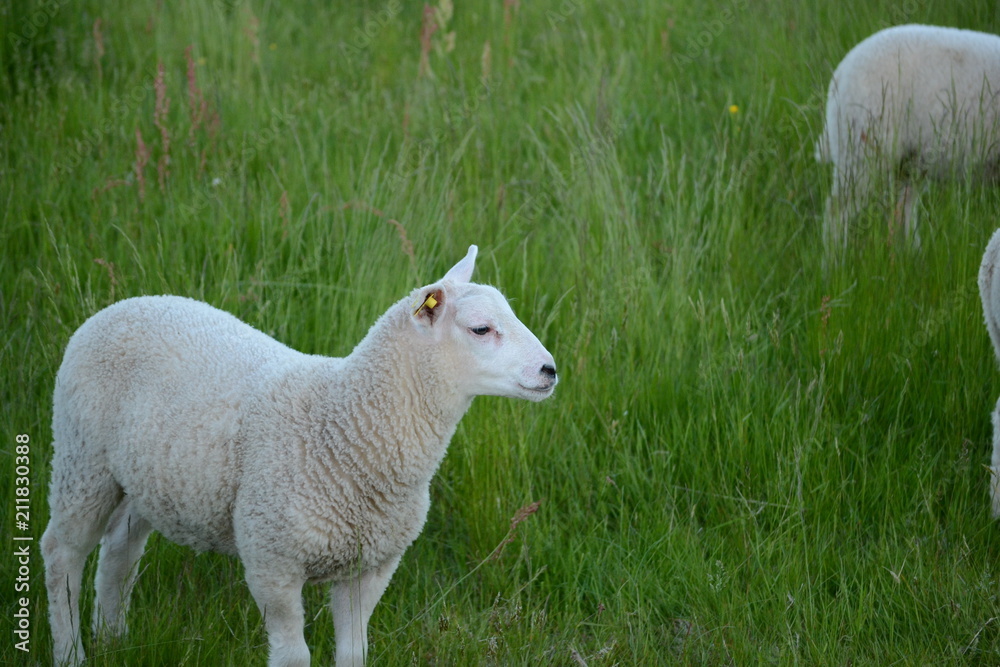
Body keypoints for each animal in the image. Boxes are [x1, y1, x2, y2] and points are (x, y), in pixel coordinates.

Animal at [41, 245, 558, 667]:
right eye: (481, 328)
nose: (550, 370)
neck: (345, 427)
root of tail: (125, 304)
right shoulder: (273, 560)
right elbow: (294, 655)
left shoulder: (370, 566)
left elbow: (354, 653)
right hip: (80, 456)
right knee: (62, 553)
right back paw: (71, 653)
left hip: (146, 479)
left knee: (119, 553)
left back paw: (113, 637)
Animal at [816, 24, 1000, 252]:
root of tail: (842, 70)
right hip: (863, 146)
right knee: (838, 210)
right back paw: (835, 259)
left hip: (906, 160)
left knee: (902, 210)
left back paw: (910, 256)